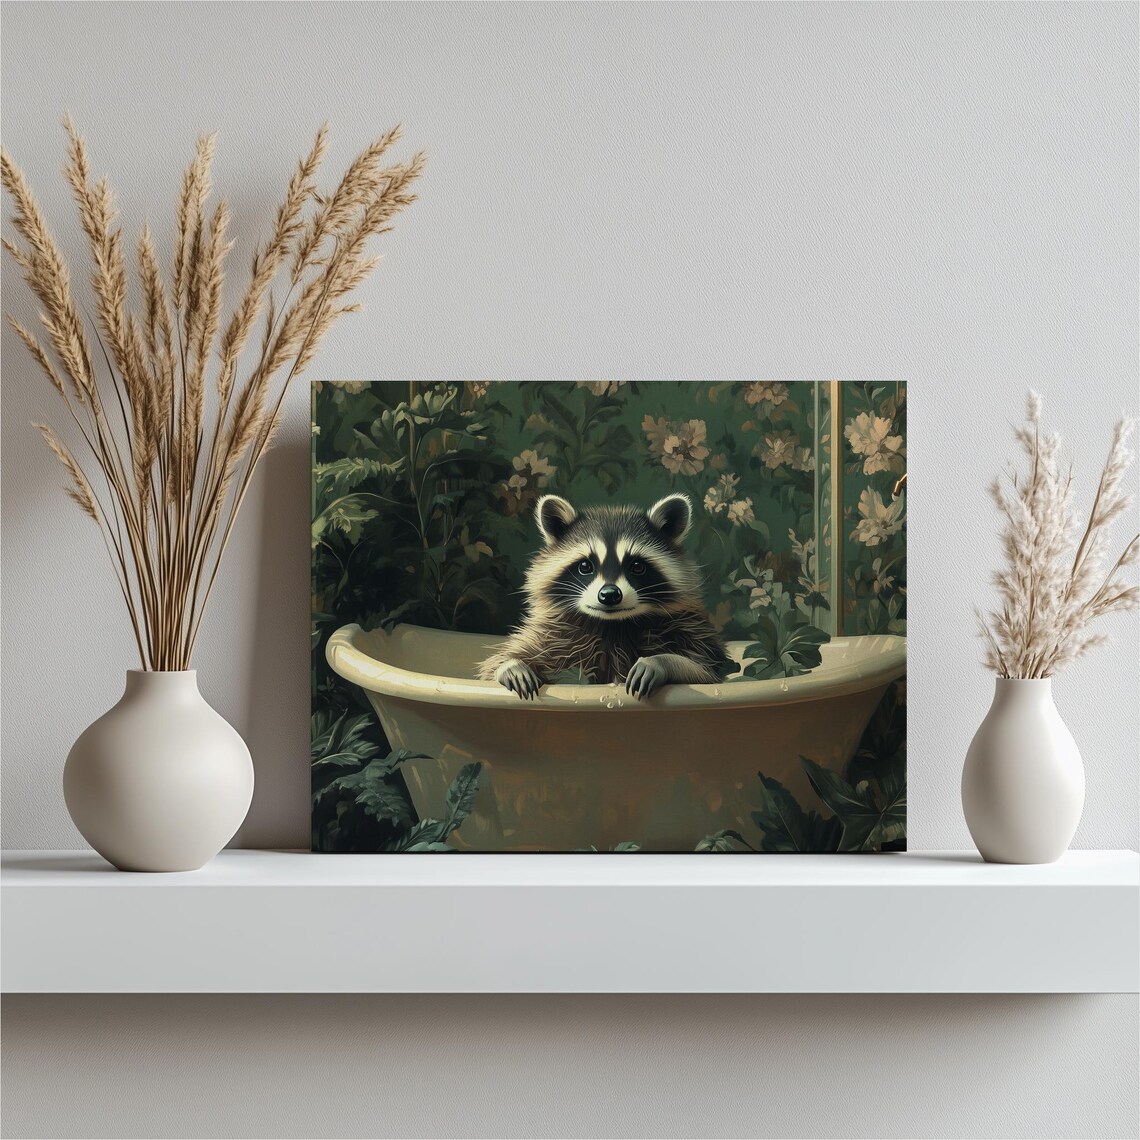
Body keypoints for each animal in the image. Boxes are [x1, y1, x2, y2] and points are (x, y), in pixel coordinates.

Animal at [479, 492, 730, 700]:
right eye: (585, 566)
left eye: (637, 566)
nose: (609, 595)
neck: (612, 624)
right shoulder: (553, 636)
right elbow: (494, 667)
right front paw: (511, 666)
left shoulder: (689, 631)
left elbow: (705, 672)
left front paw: (659, 662)